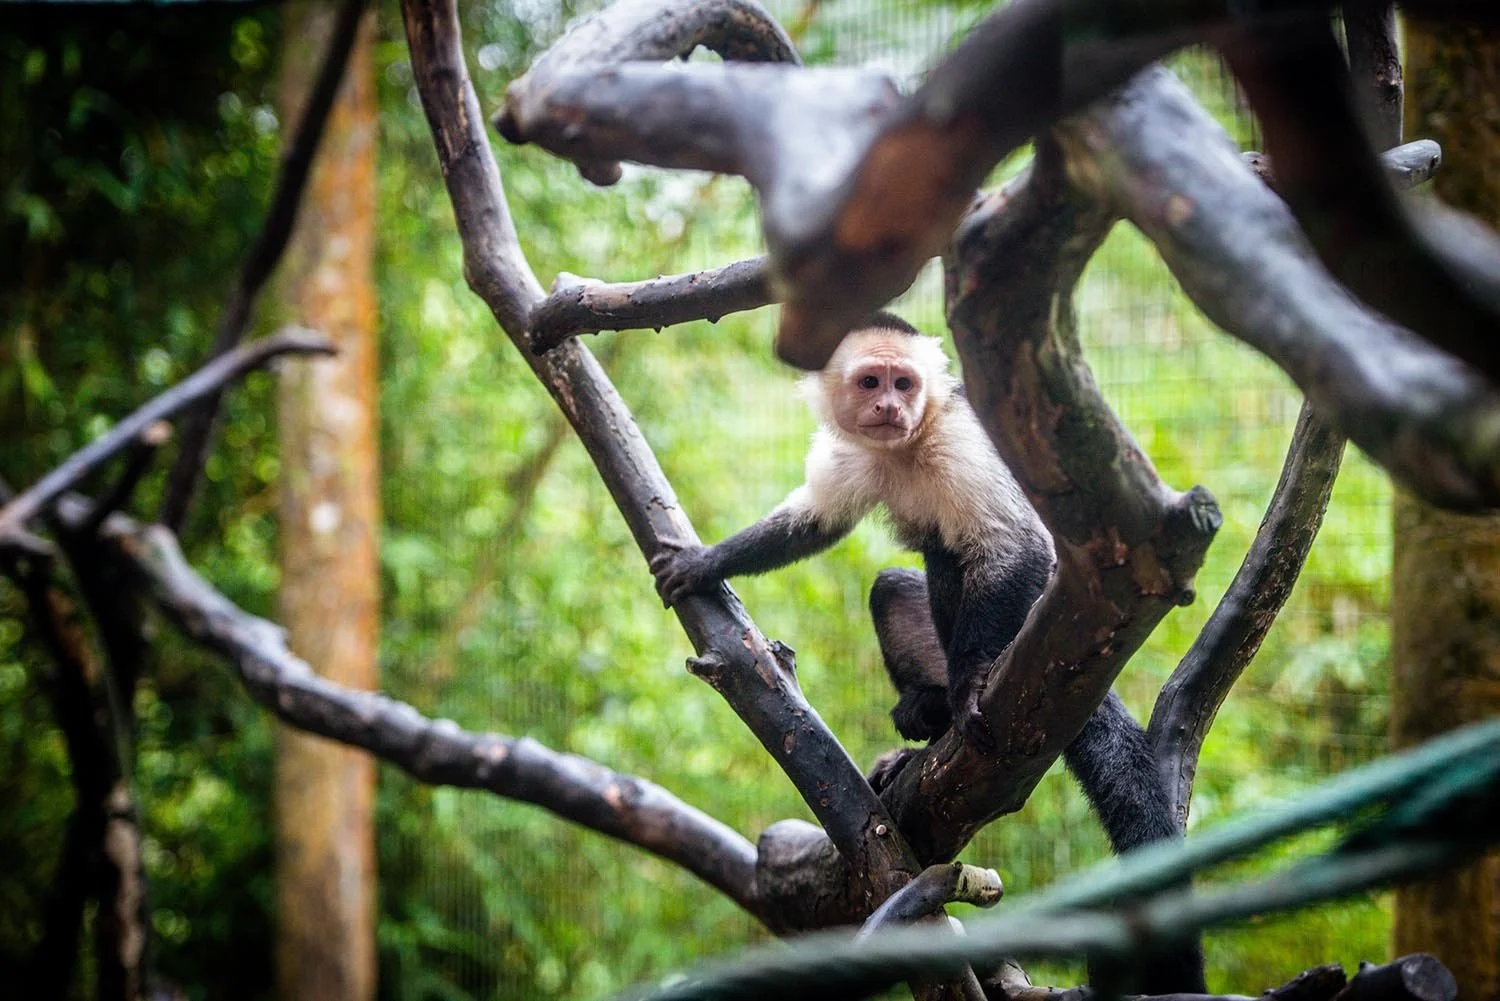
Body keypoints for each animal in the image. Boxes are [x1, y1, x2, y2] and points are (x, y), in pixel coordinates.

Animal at [651, 313, 1204, 993]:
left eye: (905, 383)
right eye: (871, 382)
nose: (890, 406)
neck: (908, 446)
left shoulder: (963, 442)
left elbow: (1013, 546)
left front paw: (967, 690)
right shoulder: (853, 450)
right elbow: (817, 522)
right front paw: (707, 563)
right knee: (906, 579)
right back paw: (929, 713)